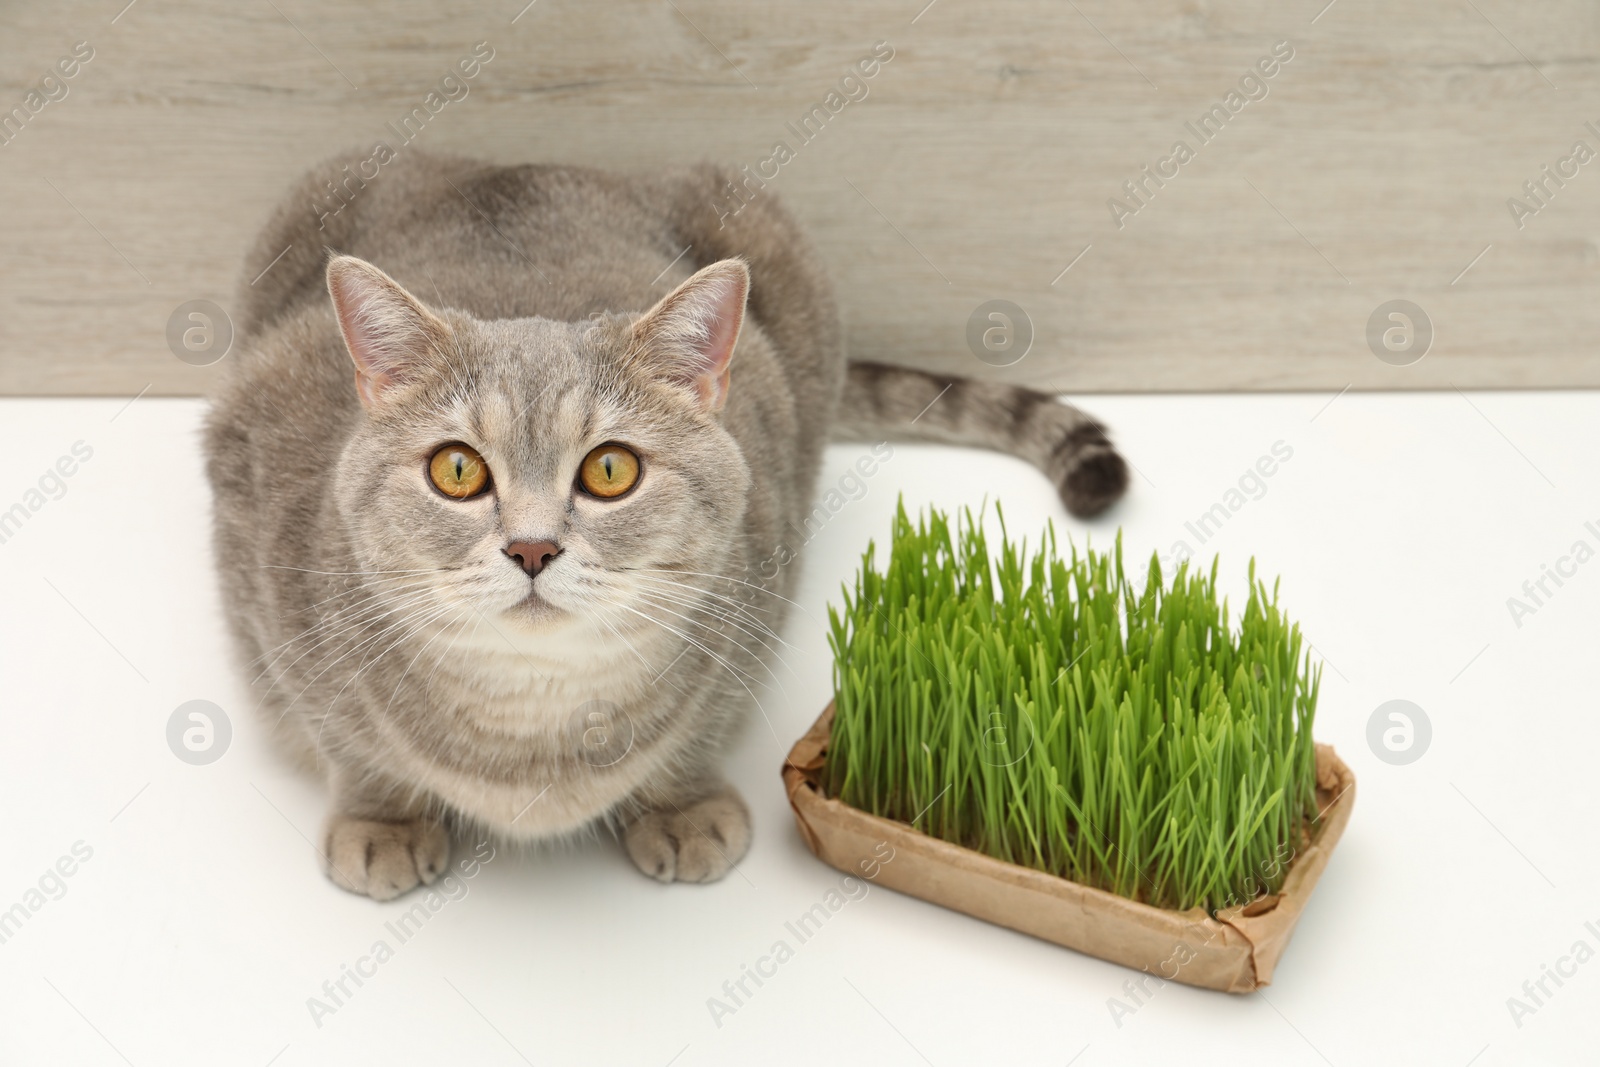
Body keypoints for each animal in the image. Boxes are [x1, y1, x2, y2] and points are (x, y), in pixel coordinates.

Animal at [203, 150, 1126, 902]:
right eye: (456, 470)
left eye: (610, 470)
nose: (531, 547)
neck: (535, 716)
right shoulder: (269, 593)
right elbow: (351, 746)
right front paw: (383, 821)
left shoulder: (757, 594)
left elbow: (700, 730)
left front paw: (684, 806)